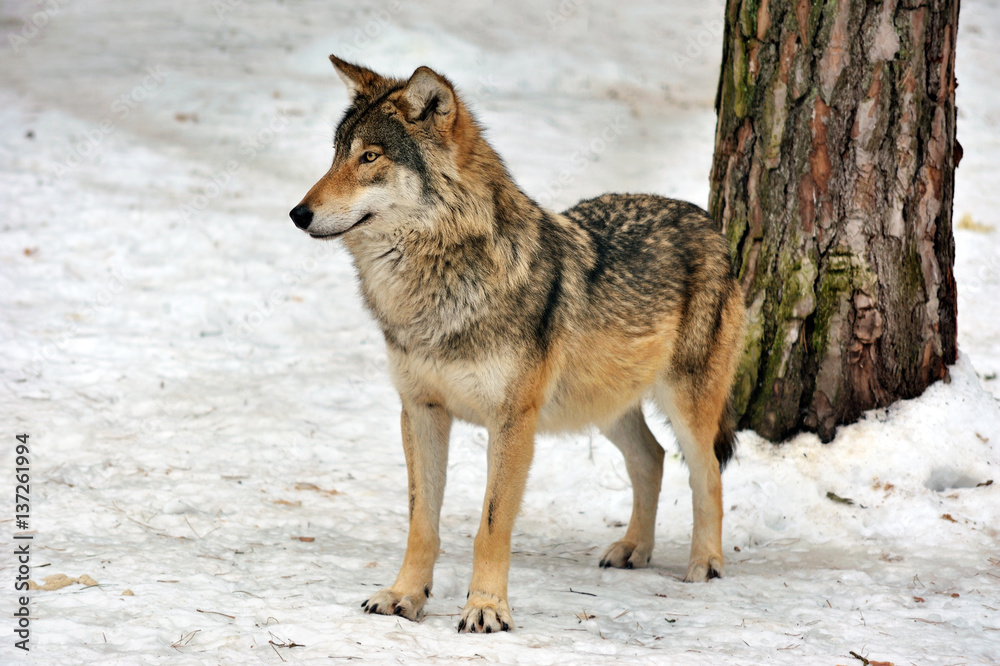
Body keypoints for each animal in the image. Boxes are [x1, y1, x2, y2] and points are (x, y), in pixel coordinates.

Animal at [289, 56, 746, 633]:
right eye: (335, 155)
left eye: (369, 157)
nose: (297, 213)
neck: (434, 290)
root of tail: (707, 221)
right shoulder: (420, 410)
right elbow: (421, 521)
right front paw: (404, 595)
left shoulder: (512, 420)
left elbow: (490, 525)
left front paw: (486, 608)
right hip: (604, 407)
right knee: (652, 458)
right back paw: (633, 549)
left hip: (684, 404)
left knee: (707, 474)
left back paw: (705, 564)